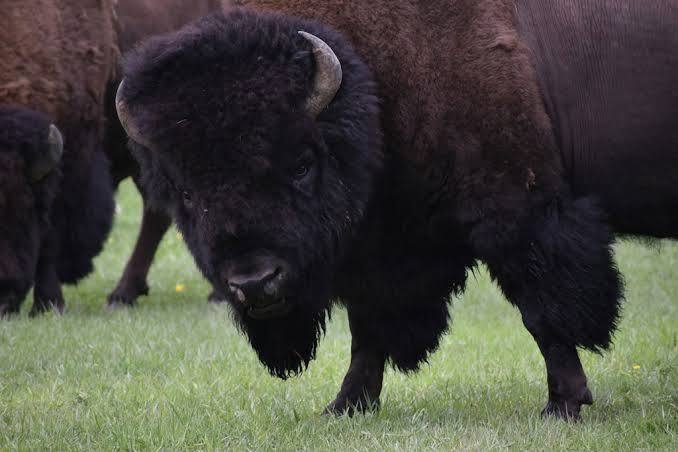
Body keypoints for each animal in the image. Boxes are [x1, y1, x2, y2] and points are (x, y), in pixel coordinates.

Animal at [115, 0, 678, 420]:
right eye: (188, 194)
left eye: (301, 164)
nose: (254, 282)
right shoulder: (376, 251)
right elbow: (368, 331)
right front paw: (344, 407)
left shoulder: (518, 214)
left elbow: (544, 310)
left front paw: (563, 404)